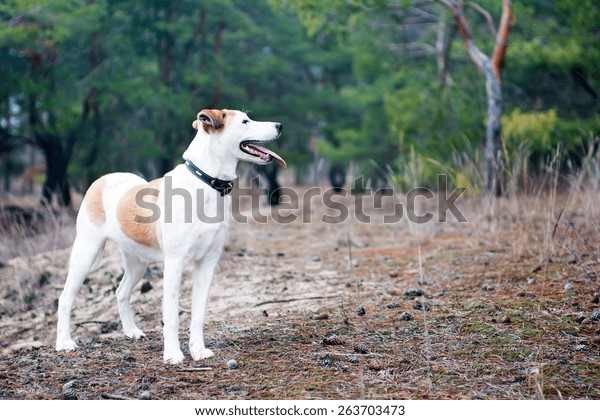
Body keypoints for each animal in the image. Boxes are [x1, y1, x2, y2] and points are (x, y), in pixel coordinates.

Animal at [55, 110, 284, 362]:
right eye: (245, 121)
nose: (279, 125)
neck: (206, 182)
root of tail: (102, 179)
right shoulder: (174, 264)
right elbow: (172, 316)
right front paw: (173, 354)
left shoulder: (207, 264)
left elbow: (198, 314)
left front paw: (198, 350)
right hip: (86, 254)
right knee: (65, 298)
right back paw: (64, 343)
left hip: (137, 262)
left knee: (121, 292)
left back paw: (131, 331)